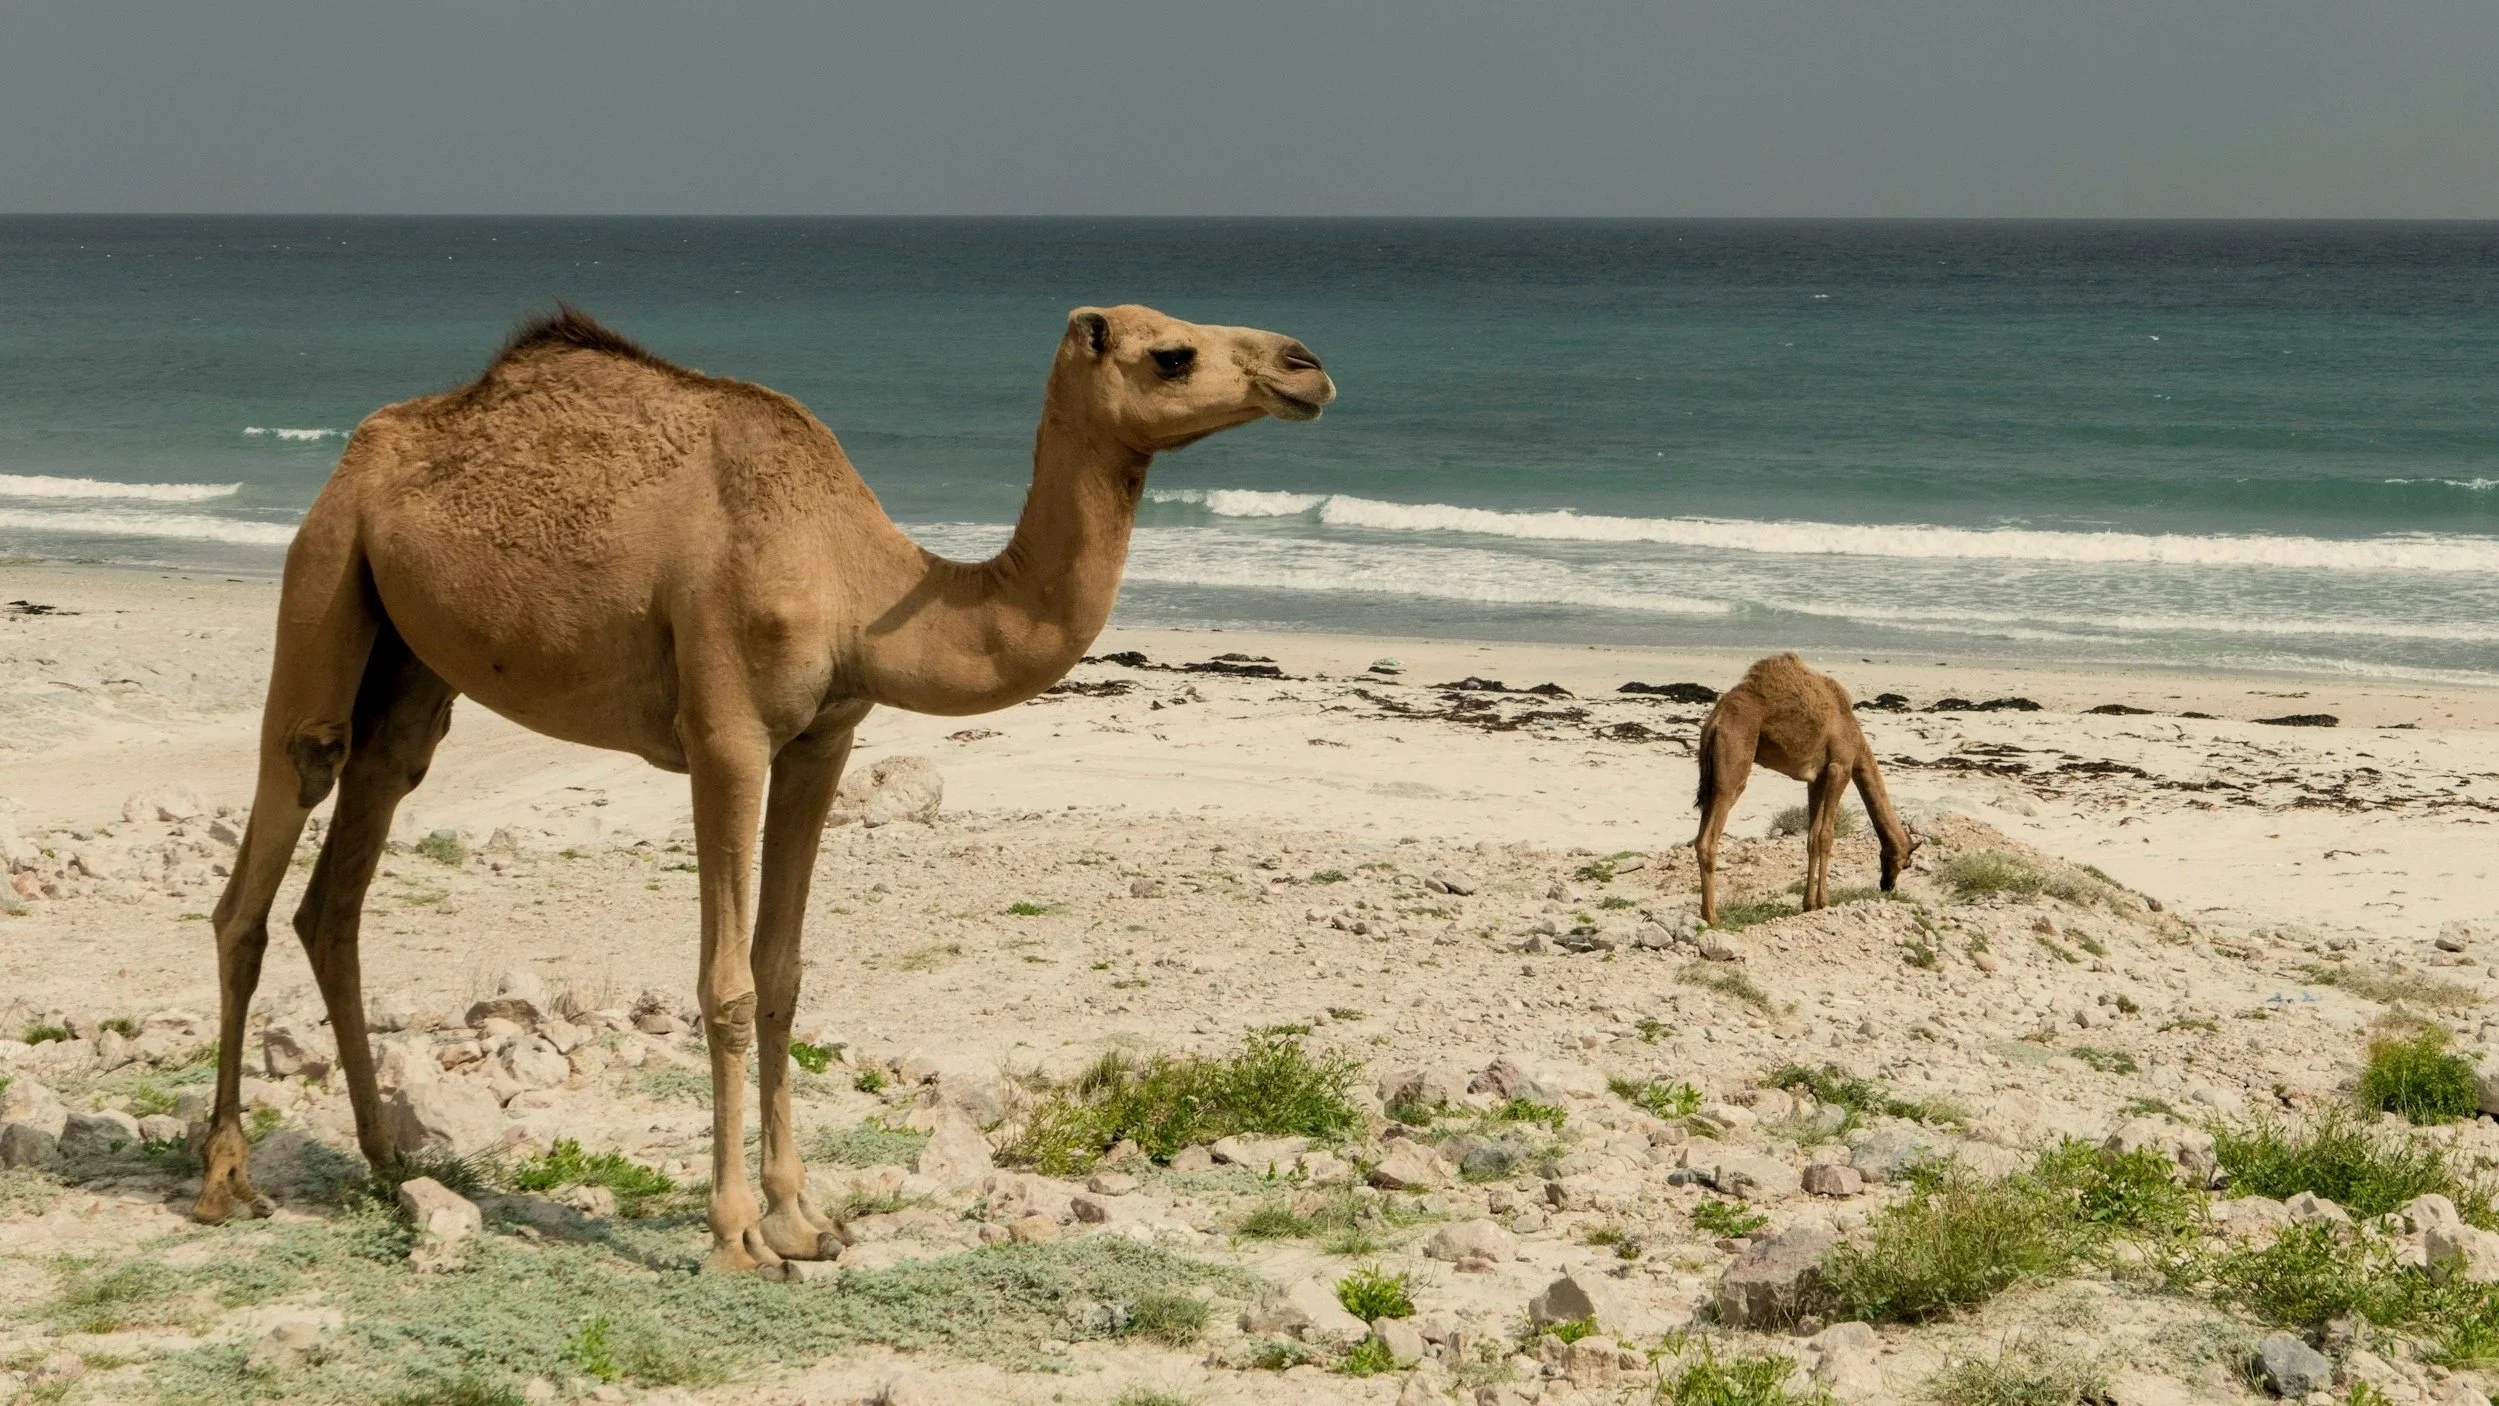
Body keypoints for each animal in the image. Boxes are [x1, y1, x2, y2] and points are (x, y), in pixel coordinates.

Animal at [192, 304, 1334, 1273]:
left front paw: (803, 1219)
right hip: (329, 564)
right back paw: (225, 1180)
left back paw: (388, 1157)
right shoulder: (728, 735)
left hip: (411, 654)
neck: (860, 581)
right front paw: (737, 1232)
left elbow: (783, 973)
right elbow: (729, 985)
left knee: (349, 861)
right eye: (1172, 353)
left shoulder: (825, 737)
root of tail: (364, 449)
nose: (1305, 365)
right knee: (274, 829)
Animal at [1692, 653, 1916, 925]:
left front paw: (1809, 904)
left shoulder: (1816, 779)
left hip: (1712, 777)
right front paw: (1824, 901)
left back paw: (1705, 913)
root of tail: (1715, 721)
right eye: (1906, 863)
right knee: (1711, 835)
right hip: (1734, 761)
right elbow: (1827, 835)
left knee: (1700, 834)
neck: (1857, 741)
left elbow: (1812, 838)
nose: (1887, 886)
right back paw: (1713, 917)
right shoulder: (1840, 768)